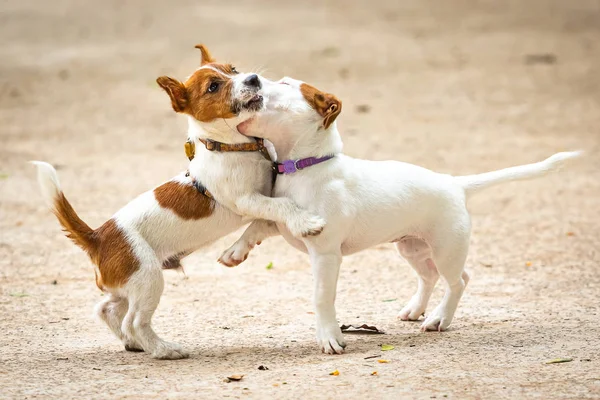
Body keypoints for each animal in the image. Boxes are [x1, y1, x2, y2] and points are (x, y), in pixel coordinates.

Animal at [31, 47, 324, 360]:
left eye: (233, 69)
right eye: (213, 87)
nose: (254, 78)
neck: (234, 146)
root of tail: (97, 237)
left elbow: (265, 218)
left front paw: (238, 251)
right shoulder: (246, 200)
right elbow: (280, 206)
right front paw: (307, 222)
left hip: (129, 285)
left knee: (106, 309)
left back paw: (133, 343)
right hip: (148, 277)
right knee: (134, 321)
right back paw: (163, 349)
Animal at [220, 76, 580, 354]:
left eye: (285, 84)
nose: (251, 78)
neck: (305, 165)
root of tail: (455, 184)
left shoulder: (325, 254)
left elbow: (321, 296)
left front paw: (329, 338)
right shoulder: (284, 221)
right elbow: (259, 224)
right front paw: (234, 252)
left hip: (447, 249)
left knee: (458, 280)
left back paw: (439, 318)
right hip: (411, 247)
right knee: (429, 276)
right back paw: (415, 309)